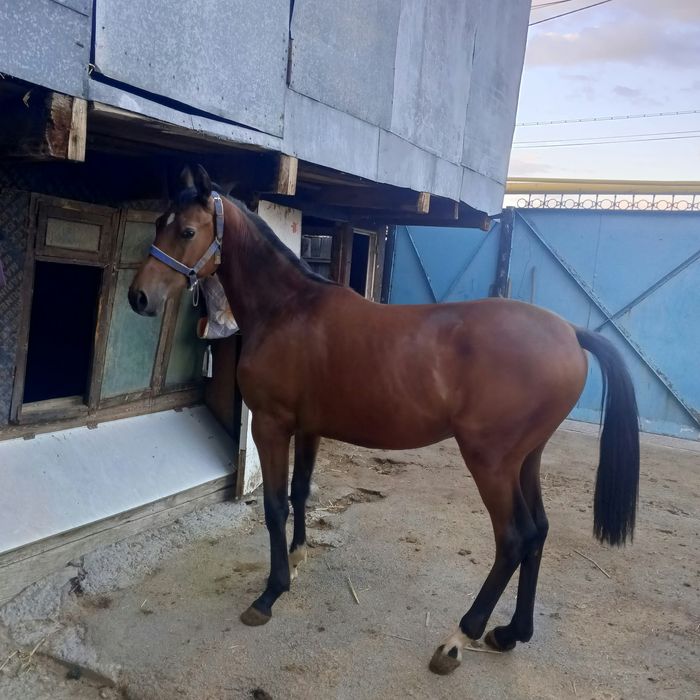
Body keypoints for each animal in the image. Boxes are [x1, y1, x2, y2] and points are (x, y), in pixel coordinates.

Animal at [129, 165, 639, 676]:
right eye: (158, 224)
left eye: (187, 231)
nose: (139, 297)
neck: (287, 310)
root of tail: (570, 332)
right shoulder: (309, 427)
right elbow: (300, 492)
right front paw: (297, 556)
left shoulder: (270, 427)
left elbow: (273, 506)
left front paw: (271, 593)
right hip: (526, 459)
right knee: (539, 532)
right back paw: (511, 633)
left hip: (491, 462)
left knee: (514, 538)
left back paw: (459, 638)